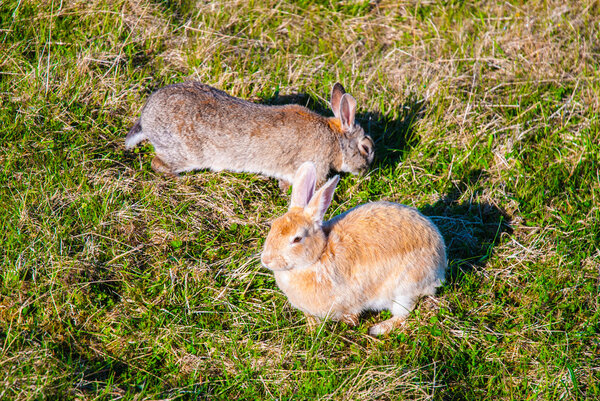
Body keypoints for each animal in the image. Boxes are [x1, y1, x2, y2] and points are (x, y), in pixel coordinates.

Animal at [124, 82, 372, 188]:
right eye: (366, 148)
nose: (366, 171)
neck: (335, 140)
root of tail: (146, 118)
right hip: (185, 154)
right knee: (158, 163)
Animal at [260, 162, 448, 334]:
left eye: (297, 239)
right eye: (273, 225)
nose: (266, 260)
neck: (318, 256)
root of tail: (440, 262)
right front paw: (311, 326)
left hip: (404, 288)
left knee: (404, 313)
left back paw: (378, 328)